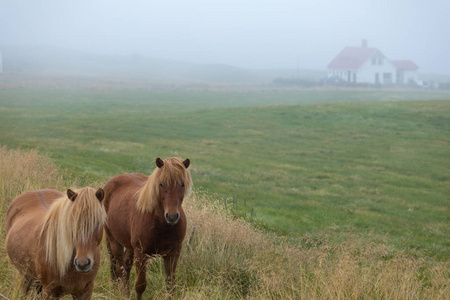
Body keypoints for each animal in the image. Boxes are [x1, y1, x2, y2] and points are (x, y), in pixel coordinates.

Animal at [103, 157, 192, 300]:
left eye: (182, 184)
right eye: (161, 184)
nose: (172, 216)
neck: (162, 225)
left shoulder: (173, 254)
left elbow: (170, 286)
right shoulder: (141, 254)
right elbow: (140, 286)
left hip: (130, 246)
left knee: (125, 266)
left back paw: (126, 294)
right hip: (114, 241)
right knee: (119, 268)